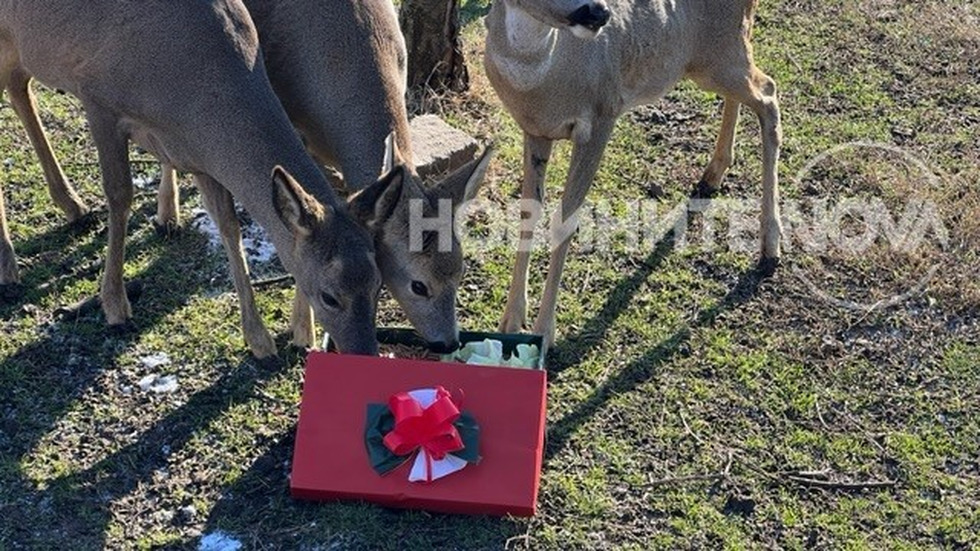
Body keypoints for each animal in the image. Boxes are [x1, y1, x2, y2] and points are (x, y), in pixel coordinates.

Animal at [7, 0, 494, 354]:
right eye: (417, 283)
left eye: (460, 270)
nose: (448, 341)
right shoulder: (98, 98)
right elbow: (119, 196)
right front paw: (115, 306)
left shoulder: (201, 148)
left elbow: (235, 223)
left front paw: (271, 339)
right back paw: (24, 252)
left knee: (18, 87)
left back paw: (152, 214)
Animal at [486, 0, 784, 344]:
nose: (599, 13)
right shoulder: (535, 129)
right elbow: (527, 213)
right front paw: (510, 322)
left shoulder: (601, 115)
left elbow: (565, 222)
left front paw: (545, 335)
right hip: (713, 62)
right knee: (747, 94)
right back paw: (711, 176)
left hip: (723, 52)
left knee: (768, 93)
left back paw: (769, 250)